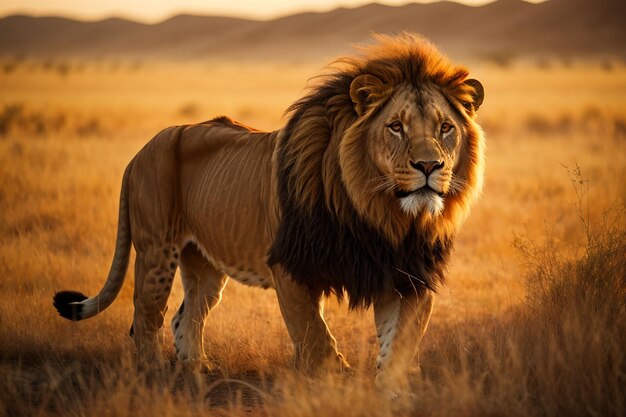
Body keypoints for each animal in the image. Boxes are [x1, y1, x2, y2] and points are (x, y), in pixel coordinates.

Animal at [52, 34, 482, 394]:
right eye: (395, 126)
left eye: (445, 128)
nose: (429, 166)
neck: (381, 217)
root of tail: (142, 149)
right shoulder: (290, 267)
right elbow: (316, 339)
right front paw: (335, 384)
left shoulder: (408, 275)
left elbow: (399, 345)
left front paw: (391, 395)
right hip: (157, 251)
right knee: (145, 319)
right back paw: (152, 377)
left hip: (204, 264)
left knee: (185, 317)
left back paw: (197, 371)